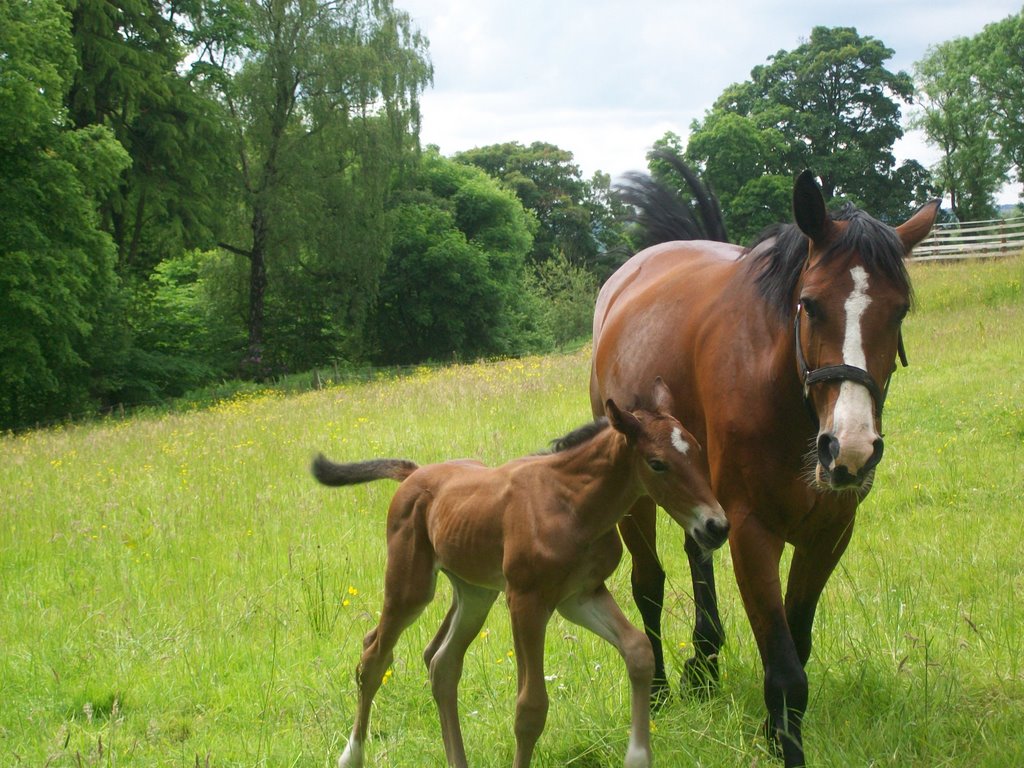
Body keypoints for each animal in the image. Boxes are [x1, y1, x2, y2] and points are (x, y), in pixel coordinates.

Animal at [311, 380, 729, 768]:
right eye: (657, 463)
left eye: (698, 450)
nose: (717, 527)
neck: (573, 504)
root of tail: (414, 474)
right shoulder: (526, 601)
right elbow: (530, 707)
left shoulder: (581, 595)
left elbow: (639, 651)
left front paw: (638, 757)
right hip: (410, 585)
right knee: (373, 656)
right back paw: (351, 755)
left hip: (475, 593)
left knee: (442, 663)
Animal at [593, 159, 937, 765]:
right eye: (811, 303)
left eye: (899, 311)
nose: (849, 448)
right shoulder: (753, 530)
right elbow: (785, 668)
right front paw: (784, 744)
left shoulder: (830, 531)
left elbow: (795, 645)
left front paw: (774, 732)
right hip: (640, 498)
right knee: (648, 583)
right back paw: (656, 690)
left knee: (695, 553)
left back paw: (702, 665)